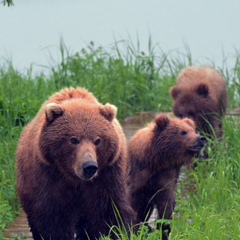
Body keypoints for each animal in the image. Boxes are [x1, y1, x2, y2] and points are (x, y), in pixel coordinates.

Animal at [16, 87, 135, 239]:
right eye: (73, 139)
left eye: (98, 140)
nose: (89, 167)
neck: (75, 179)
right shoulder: (48, 175)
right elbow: (52, 218)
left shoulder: (108, 175)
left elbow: (108, 213)